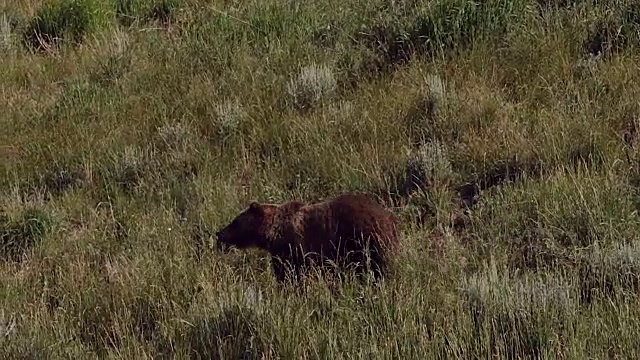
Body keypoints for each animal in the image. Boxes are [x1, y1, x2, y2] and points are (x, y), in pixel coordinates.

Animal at [218, 193, 402, 286]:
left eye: (235, 222)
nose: (219, 234)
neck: (272, 232)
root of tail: (389, 217)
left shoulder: (293, 249)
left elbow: (291, 274)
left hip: (365, 240)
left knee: (376, 267)